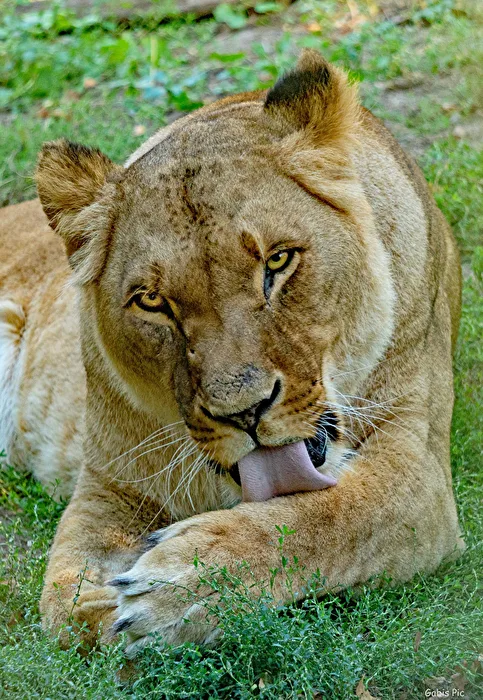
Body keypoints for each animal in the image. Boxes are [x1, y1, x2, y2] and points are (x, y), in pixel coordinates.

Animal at [0, 51, 464, 655]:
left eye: (278, 261)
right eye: (152, 301)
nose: (245, 412)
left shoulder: (418, 466)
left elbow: (329, 518)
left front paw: (180, 587)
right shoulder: (105, 484)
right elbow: (70, 606)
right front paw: (120, 614)